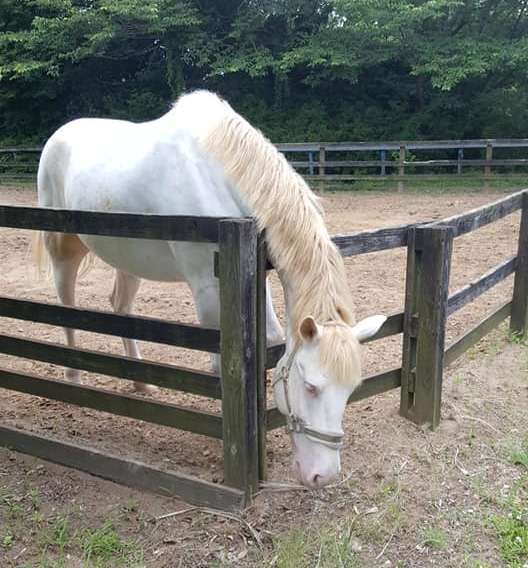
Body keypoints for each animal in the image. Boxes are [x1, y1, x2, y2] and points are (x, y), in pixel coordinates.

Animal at [34, 90, 388, 488]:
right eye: (311, 386)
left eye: (351, 390)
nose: (322, 476)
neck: (219, 174)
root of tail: (58, 136)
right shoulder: (208, 289)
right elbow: (220, 362)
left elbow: (271, 341)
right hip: (62, 247)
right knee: (66, 304)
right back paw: (73, 376)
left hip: (127, 257)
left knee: (120, 307)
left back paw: (141, 385)